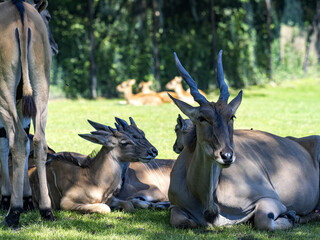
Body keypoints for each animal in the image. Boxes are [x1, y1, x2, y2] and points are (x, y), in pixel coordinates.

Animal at [168, 50, 320, 231]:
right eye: (202, 118)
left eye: (232, 116)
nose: (226, 156)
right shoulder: (175, 205)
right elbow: (181, 220)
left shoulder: (270, 199)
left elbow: (263, 220)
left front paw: (291, 216)